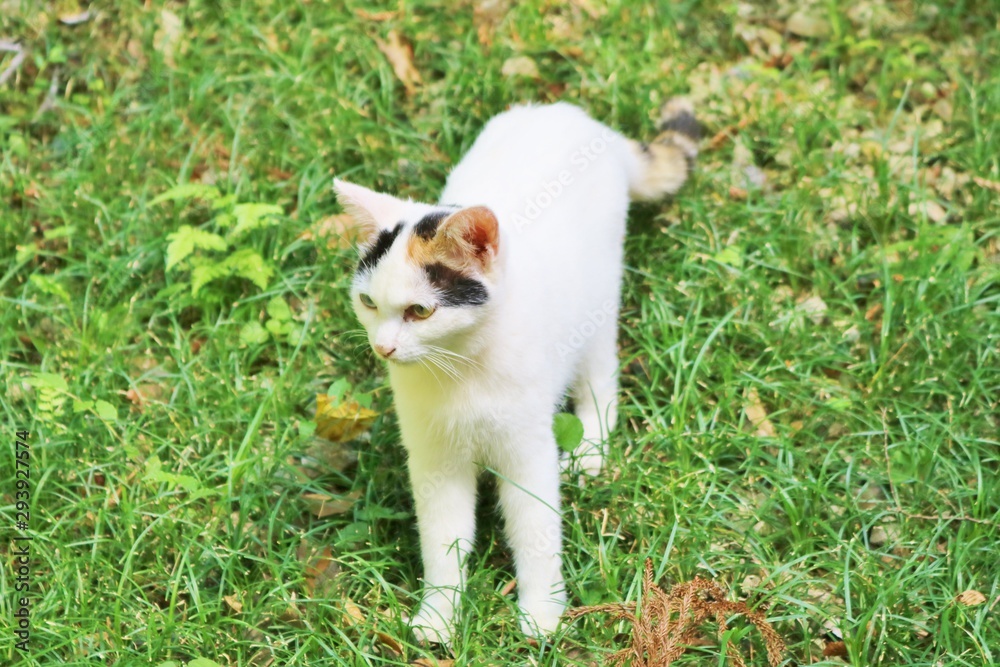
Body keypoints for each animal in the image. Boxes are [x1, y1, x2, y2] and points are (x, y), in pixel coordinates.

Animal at [334, 96, 696, 644]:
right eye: (368, 303)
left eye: (420, 311)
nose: (384, 348)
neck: (461, 368)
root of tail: (582, 121)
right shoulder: (435, 458)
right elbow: (443, 538)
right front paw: (439, 616)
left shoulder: (527, 450)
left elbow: (534, 530)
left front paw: (542, 614)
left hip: (599, 300)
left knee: (601, 374)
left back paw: (592, 447)